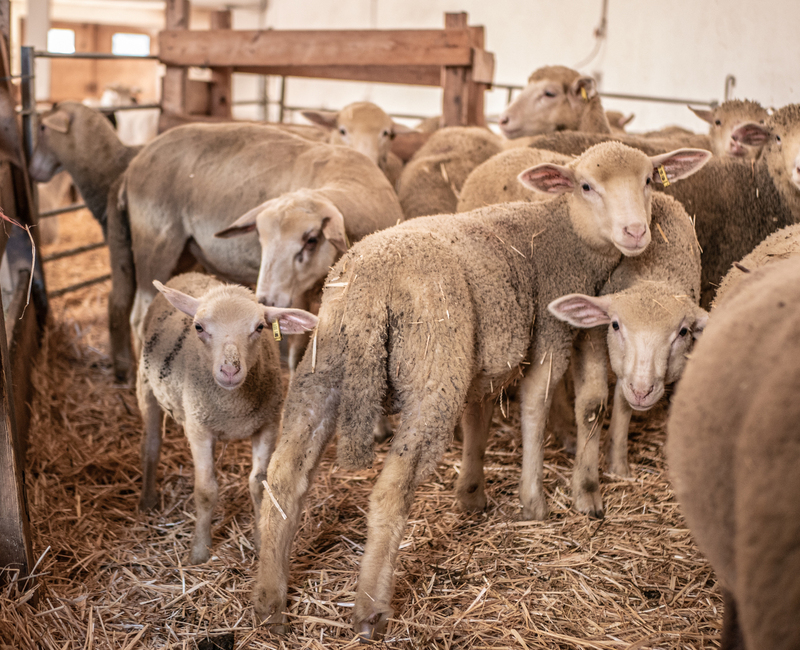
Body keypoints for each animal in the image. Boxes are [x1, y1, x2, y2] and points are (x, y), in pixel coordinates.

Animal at [106, 121, 404, 380]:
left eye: (311, 240)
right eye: (259, 236)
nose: (266, 300)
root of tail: (134, 165)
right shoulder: (296, 296)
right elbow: (297, 350)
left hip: (181, 253)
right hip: (155, 243)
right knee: (140, 317)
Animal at [138, 270, 316, 564]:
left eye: (260, 327)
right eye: (198, 327)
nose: (230, 370)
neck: (234, 408)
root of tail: (187, 273)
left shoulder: (268, 425)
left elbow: (258, 483)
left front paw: (260, 541)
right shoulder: (198, 429)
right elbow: (206, 490)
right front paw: (200, 551)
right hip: (146, 387)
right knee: (151, 445)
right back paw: (148, 499)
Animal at [252, 143, 712, 636]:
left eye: (648, 180)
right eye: (587, 185)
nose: (636, 232)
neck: (562, 233)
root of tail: (370, 289)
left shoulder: (486, 356)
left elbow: (481, 416)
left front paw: (472, 494)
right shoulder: (549, 332)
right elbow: (536, 408)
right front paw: (534, 502)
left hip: (322, 369)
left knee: (285, 476)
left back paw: (270, 601)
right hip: (434, 372)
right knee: (391, 490)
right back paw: (370, 607)